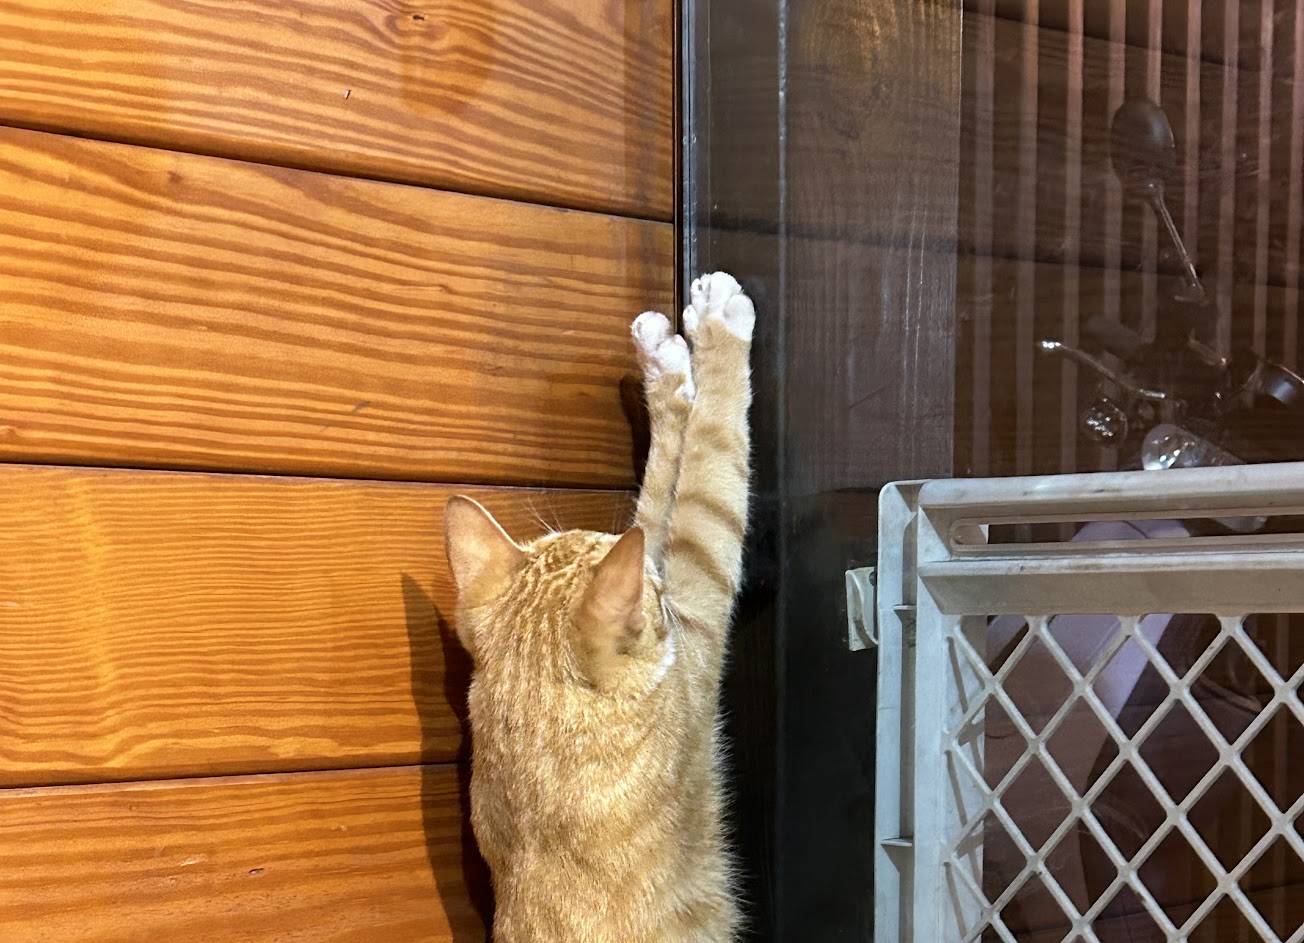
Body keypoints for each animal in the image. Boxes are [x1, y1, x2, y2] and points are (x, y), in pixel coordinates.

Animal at [443, 271, 755, 943]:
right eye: (654, 596)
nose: (653, 583)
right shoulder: (696, 601)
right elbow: (709, 459)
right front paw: (719, 328)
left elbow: (658, 489)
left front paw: (664, 368)